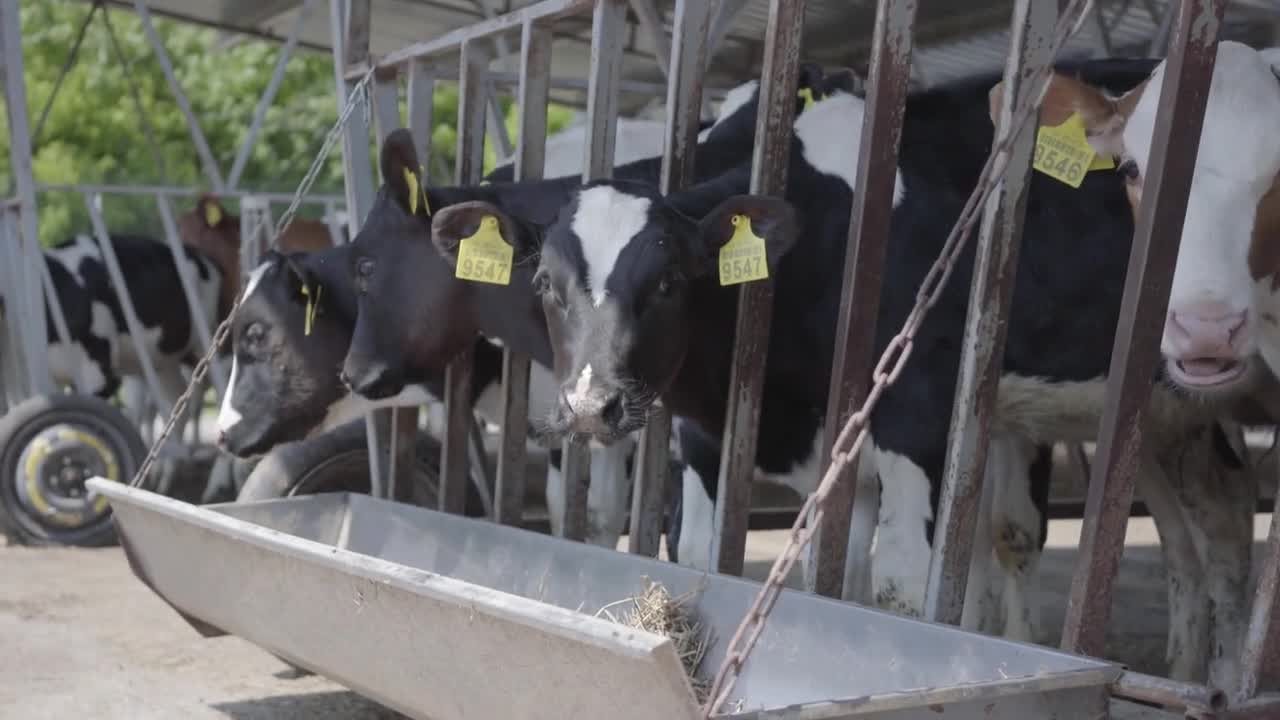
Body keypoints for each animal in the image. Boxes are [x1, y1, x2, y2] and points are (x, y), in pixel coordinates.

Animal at [394, 43, 1274, 691]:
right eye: (545, 285)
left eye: (670, 280)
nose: (589, 406)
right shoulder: (711, 434)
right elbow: (726, 558)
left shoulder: (917, 420)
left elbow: (898, 591)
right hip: (1166, 410)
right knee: (1215, 521)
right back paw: (1195, 671)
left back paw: (1222, 682)